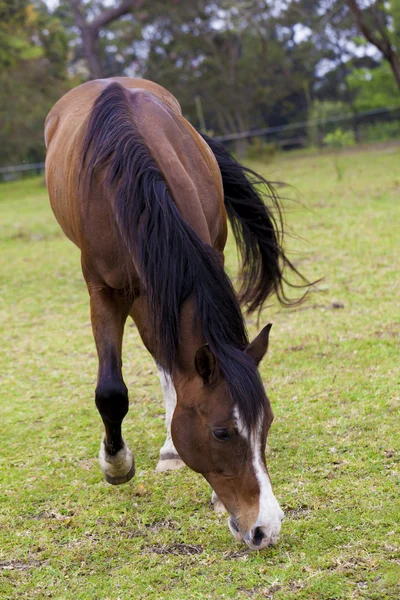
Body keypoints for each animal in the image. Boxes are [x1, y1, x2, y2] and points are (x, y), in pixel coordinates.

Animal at [44, 77, 304, 552]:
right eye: (221, 432)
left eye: (267, 423)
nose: (266, 527)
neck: (129, 183)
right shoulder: (104, 290)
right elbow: (111, 391)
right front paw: (116, 464)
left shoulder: (190, 267)